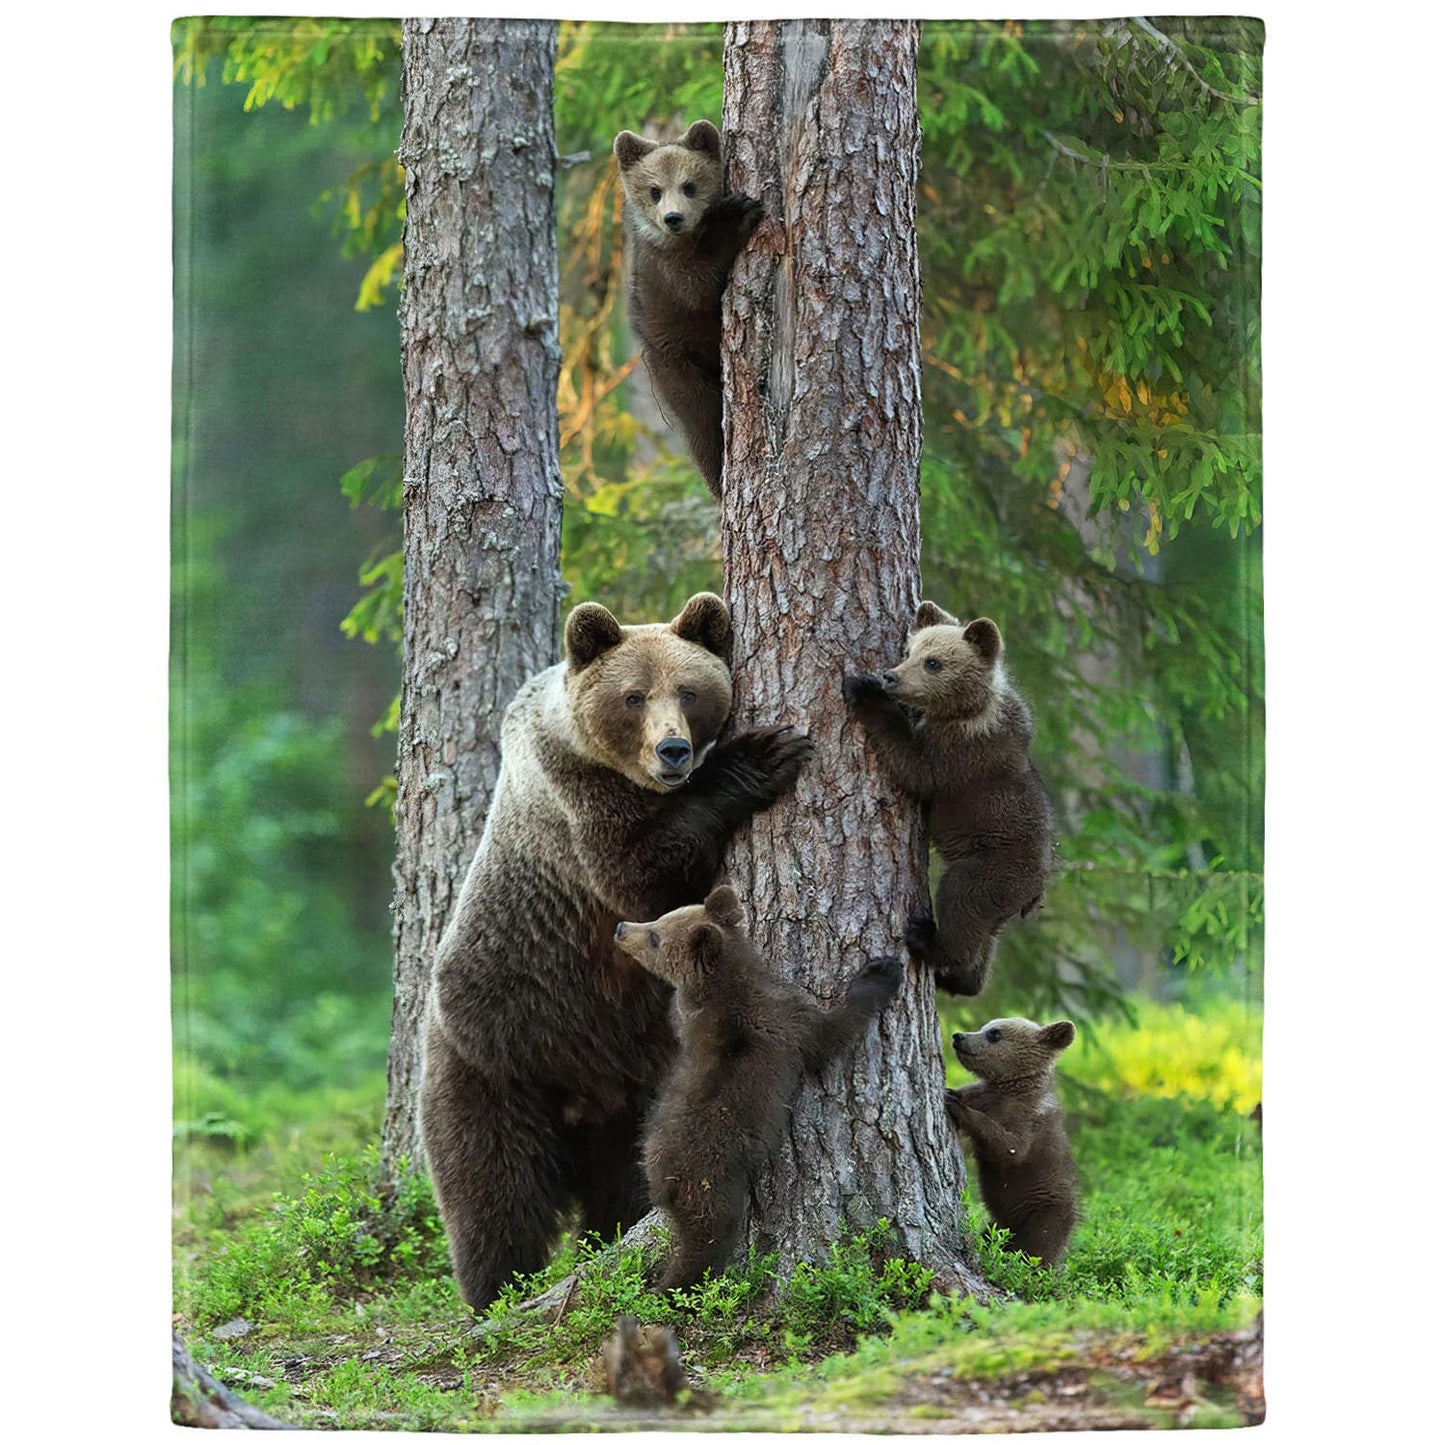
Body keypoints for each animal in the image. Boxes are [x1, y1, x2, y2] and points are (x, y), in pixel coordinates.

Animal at [418, 592, 814, 1311]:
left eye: (689, 690)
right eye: (633, 696)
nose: (673, 749)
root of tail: (583, 1097)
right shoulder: (577, 805)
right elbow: (640, 877)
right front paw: (761, 756)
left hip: (635, 1093)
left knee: (622, 1187)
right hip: (495, 1057)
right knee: (493, 1191)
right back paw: (495, 1293)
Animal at [613, 119, 762, 498]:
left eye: (689, 185)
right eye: (654, 190)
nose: (673, 217)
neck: (687, 238)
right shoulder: (665, 271)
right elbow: (697, 286)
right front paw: (736, 216)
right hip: (676, 364)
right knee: (703, 424)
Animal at [614, 884, 905, 1291]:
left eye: (657, 930)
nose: (621, 927)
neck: (729, 983)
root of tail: (662, 1180)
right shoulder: (787, 1025)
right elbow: (831, 1034)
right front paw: (880, 973)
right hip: (712, 1183)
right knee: (707, 1239)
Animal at [843, 601, 1053, 996]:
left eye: (934, 662)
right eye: (909, 651)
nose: (890, 677)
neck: (969, 708)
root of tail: (1035, 893)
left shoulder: (962, 755)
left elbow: (917, 770)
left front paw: (864, 691)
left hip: (993, 867)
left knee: (962, 903)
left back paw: (927, 939)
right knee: (985, 939)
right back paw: (962, 980)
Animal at [947, 1016, 1079, 1268]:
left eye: (995, 1034)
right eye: (984, 1027)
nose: (958, 1036)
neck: (1011, 1089)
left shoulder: (1028, 1121)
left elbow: (1009, 1148)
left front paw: (954, 1106)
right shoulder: (983, 1095)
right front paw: (949, 1091)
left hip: (1045, 1212)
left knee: (1038, 1249)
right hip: (999, 1224)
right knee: (991, 1235)